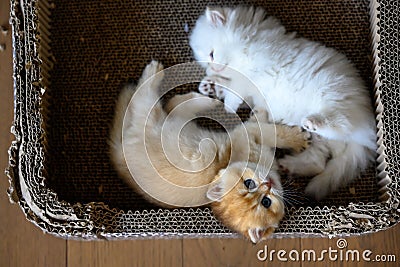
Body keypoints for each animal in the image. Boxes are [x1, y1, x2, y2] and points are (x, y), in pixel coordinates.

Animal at [189, 5, 376, 201]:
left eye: (212, 54)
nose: (211, 68)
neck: (249, 43)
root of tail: (366, 131)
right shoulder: (251, 91)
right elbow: (234, 88)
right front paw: (210, 86)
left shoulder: (254, 70)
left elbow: (236, 86)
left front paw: (227, 103)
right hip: (323, 141)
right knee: (319, 162)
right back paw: (288, 164)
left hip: (333, 98)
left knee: (339, 124)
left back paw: (313, 122)